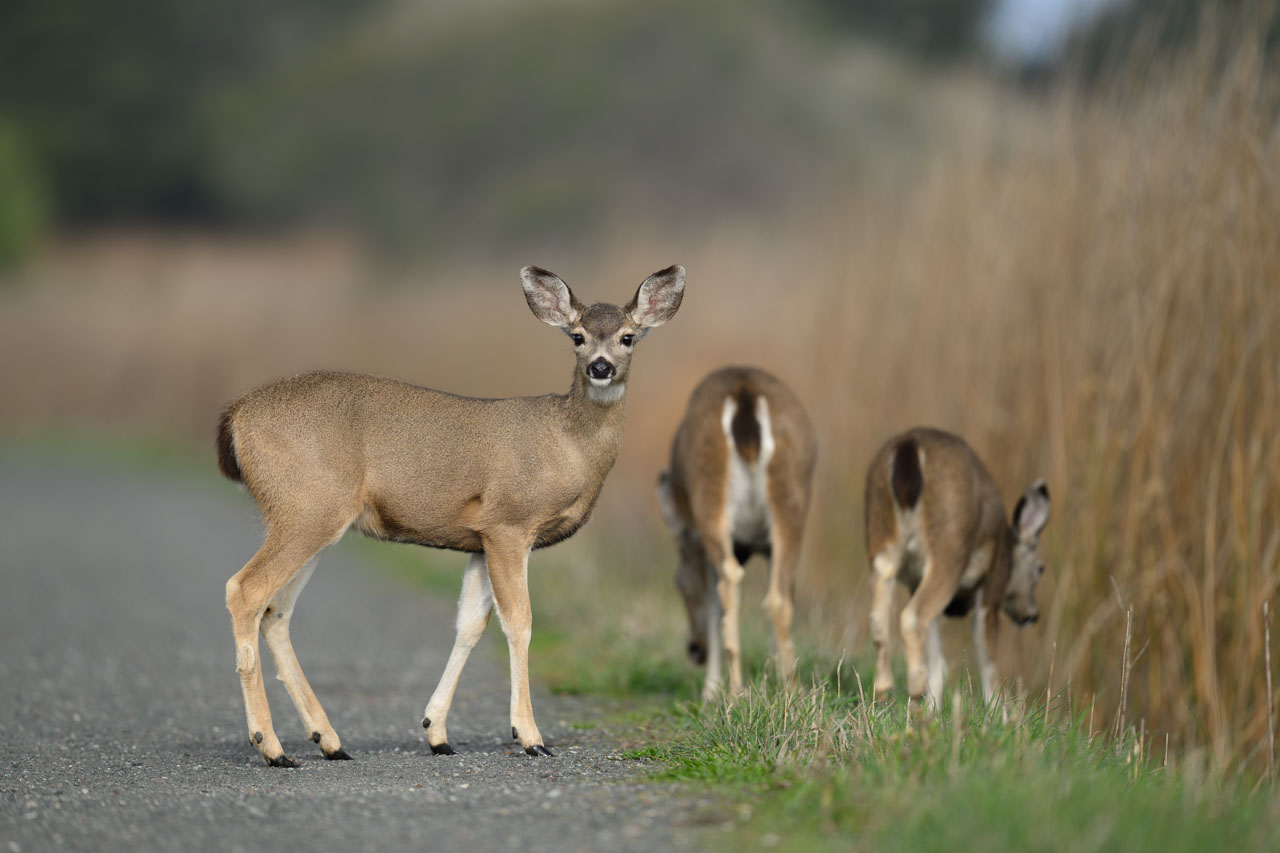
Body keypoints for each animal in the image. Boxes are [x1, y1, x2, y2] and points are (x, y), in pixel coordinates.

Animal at [215, 264, 684, 767]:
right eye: (577, 336)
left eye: (628, 337)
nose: (601, 366)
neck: (568, 444)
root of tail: (235, 416)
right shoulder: (508, 524)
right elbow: (519, 622)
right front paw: (529, 735)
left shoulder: (479, 540)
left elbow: (470, 625)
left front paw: (436, 732)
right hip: (305, 508)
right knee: (245, 590)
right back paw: (271, 746)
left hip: (314, 519)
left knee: (276, 610)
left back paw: (329, 741)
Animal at [656, 367, 817, 703]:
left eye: (678, 582)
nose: (694, 650)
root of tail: (745, 395)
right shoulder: (767, 548)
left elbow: (712, 604)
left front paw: (710, 691)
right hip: (792, 500)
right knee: (778, 598)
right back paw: (792, 691)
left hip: (710, 495)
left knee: (729, 582)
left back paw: (734, 692)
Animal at [864, 427, 1050, 710]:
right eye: (1040, 569)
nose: (1032, 615)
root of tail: (908, 448)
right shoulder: (992, 589)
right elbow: (987, 661)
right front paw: (997, 713)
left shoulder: (916, 582)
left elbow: (938, 660)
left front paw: (933, 711)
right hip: (949, 550)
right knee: (912, 617)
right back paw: (914, 688)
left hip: (881, 538)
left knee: (879, 617)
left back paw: (885, 690)